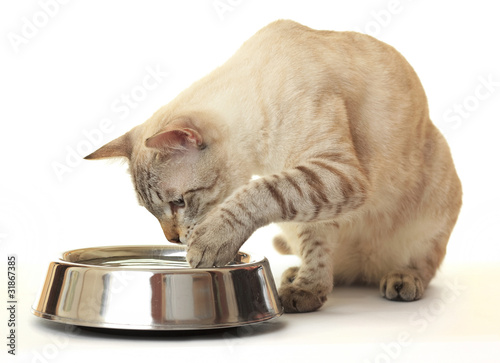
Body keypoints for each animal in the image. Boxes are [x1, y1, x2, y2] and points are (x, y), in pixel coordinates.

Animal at [85, 19, 460, 314]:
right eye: (153, 212)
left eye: (178, 202)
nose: (173, 239)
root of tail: (363, 271)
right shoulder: (316, 201)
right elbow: (316, 247)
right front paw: (308, 290)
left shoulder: (334, 173)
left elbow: (258, 193)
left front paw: (209, 241)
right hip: (296, 224)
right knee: (331, 264)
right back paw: (297, 275)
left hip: (434, 210)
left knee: (424, 264)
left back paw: (402, 279)